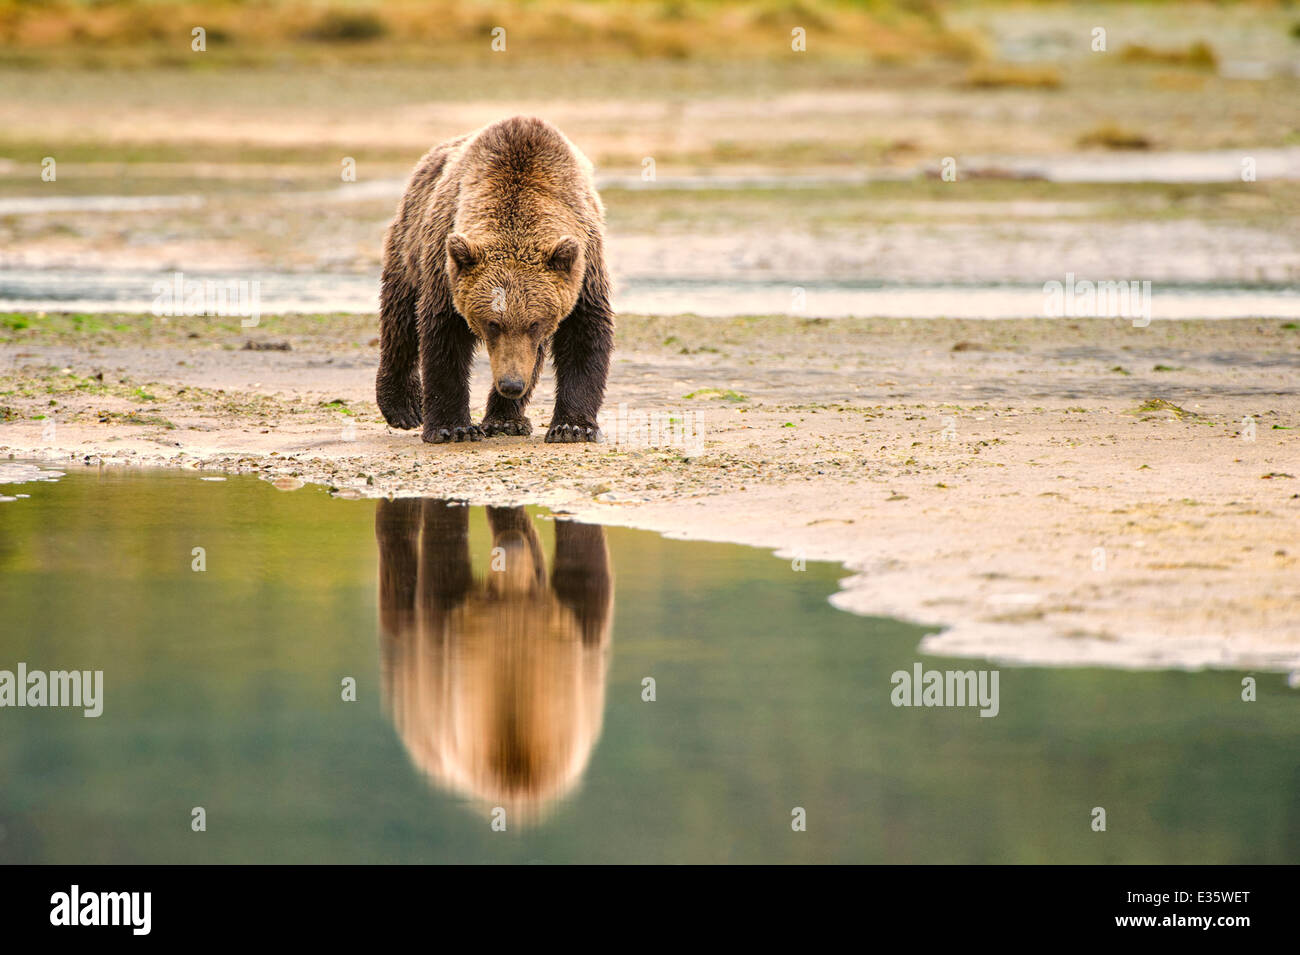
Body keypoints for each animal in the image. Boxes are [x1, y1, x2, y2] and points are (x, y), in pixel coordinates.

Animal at [377, 116, 613, 444]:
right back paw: (403, 407)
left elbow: (585, 335)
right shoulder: (447, 265)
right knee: (399, 318)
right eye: (492, 323)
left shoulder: (584, 266)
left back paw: (505, 420)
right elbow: (443, 337)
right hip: (409, 242)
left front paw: (573, 427)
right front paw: (453, 428)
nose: (511, 383)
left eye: (535, 323)